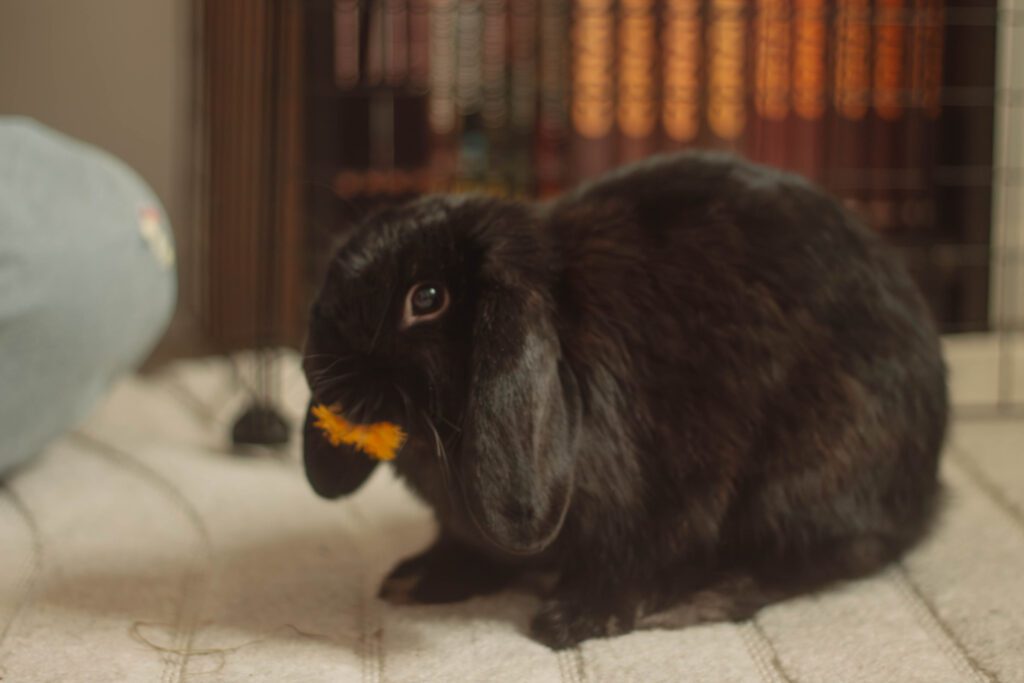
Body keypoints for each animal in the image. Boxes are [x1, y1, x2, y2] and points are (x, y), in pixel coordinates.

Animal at [301, 151, 948, 649]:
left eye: (427, 298)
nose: (323, 367)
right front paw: (416, 580)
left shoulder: (670, 499)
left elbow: (638, 560)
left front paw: (573, 619)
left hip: (805, 470)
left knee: (826, 555)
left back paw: (702, 599)